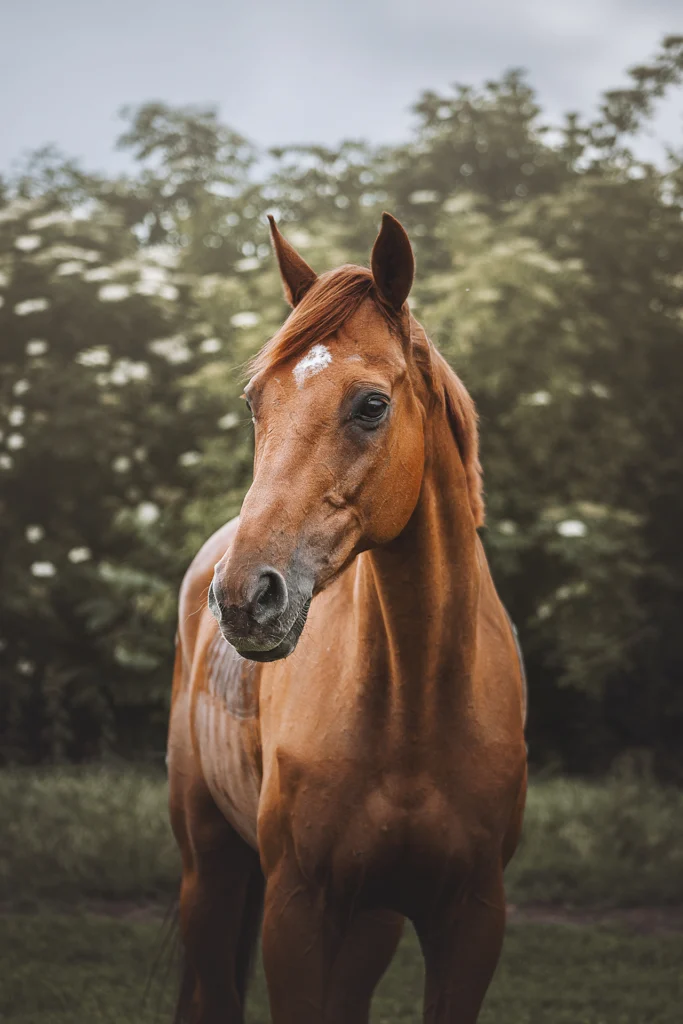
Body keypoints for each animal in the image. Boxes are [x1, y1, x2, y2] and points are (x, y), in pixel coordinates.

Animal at [167, 212, 527, 1024]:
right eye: (255, 402)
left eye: (370, 405)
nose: (246, 595)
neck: (415, 707)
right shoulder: (296, 910)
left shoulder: (471, 919)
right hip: (210, 873)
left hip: (370, 922)